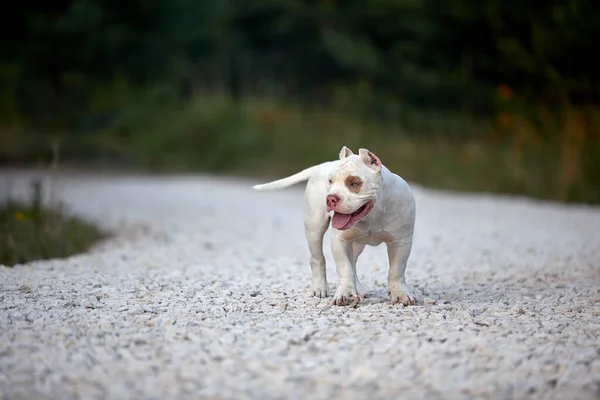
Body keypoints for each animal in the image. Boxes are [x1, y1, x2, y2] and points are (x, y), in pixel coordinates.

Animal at [251, 147, 414, 306]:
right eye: (330, 181)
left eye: (354, 182)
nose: (330, 199)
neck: (372, 215)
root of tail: (324, 164)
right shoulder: (339, 241)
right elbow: (345, 268)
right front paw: (346, 293)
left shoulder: (401, 242)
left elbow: (396, 270)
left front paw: (400, 294)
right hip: (314, 227)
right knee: (318, 258)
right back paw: (319, 288)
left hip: (357, 243)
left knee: (353, 262)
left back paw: (359, 289)